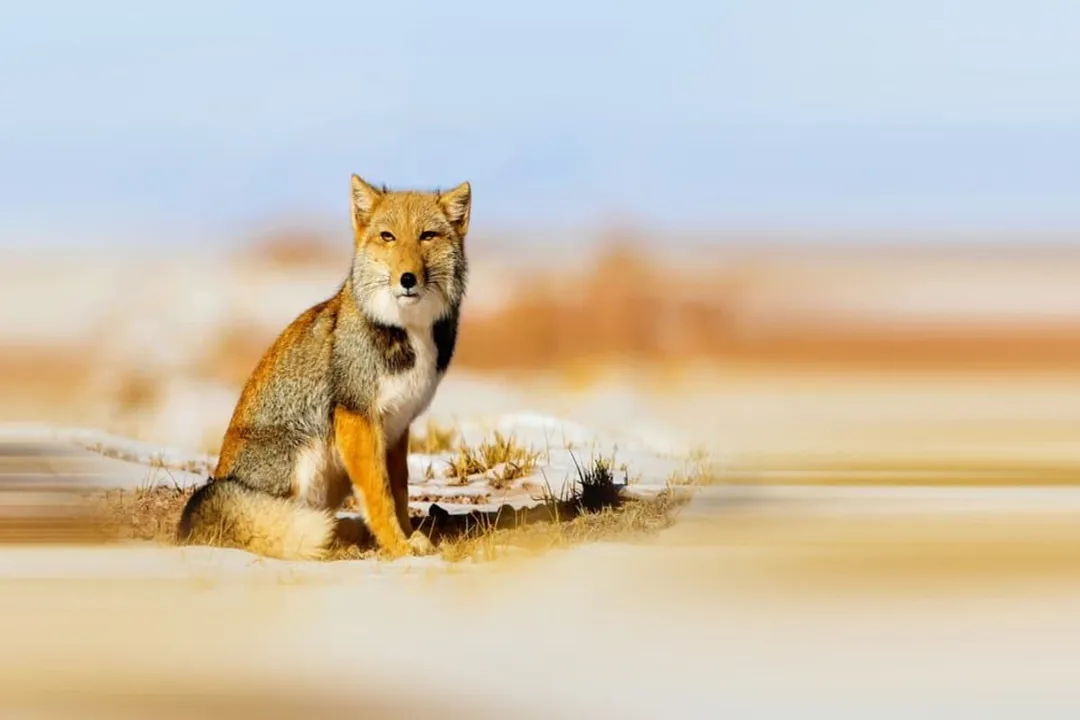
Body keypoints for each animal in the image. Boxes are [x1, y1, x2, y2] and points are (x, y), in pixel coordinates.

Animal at [177, 173, 471, 560]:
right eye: (387, 236)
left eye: (427, 236)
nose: (407, 279)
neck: (408, 331)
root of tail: (221, 483)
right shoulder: (357, 416)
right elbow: (379, 494)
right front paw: (397, 546)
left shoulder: (397, 424)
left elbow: (399, 490)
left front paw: (408, 536)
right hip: (306, 455)